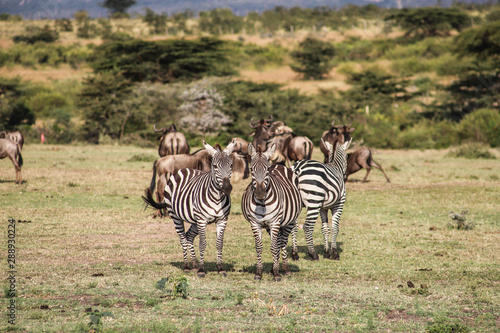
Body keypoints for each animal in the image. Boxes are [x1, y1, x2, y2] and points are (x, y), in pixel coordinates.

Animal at [142, 139, 235, 276]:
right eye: (215, 166)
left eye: (231, 165)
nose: (227, 188)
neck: (217, 198)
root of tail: (184, 169)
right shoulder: (202, 221)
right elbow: (202, 243)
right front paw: (201, 270)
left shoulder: (222, 220)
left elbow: (219, 244)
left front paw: (220, 268)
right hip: (176, 216)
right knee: (182, 238)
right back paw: (186, 265)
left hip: (194, 220)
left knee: (189, 236)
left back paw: (195, 263)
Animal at [241, 143, 300, 280]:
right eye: (251, 169)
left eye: (267, 169)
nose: (260, 194)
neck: (262, 203)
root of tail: (278, 164)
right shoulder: (255, 223)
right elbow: (259, 247)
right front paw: (259, 273)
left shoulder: (275, 222)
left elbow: (273, 247)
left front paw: (277, 274)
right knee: (279, 242)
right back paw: (274, 268)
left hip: (289, 221)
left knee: (282, 242)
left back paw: (285, 269)